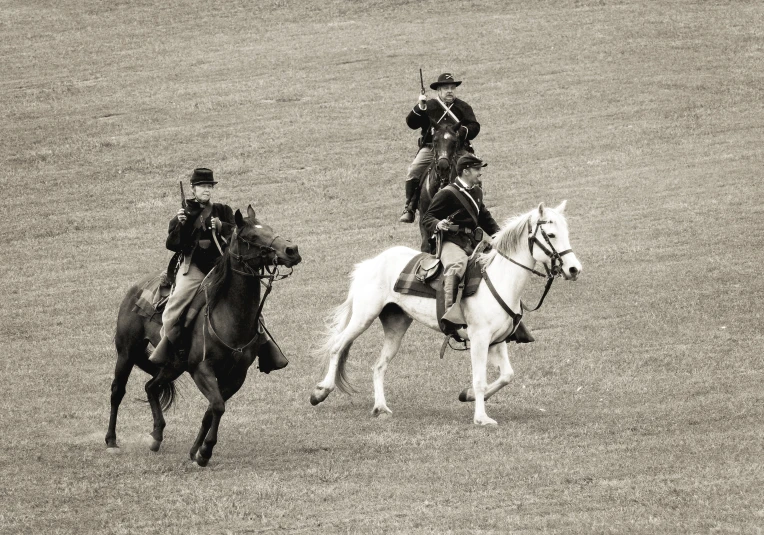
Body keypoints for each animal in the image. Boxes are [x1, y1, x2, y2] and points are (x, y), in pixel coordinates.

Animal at [105, 203, 302, 466]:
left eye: (270, 228)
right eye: (251, 237)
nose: (292, 250)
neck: (230, 317)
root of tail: (136, 289)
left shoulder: (236, 376)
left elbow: (211, 410)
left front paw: (195, 451)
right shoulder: (202, 369)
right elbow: (217, 406)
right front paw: (205, 451)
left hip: (173, 364)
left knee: (151, 386)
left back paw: (156, 436)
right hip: (127, 352)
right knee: (118, 391)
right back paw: (111, 441)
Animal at [308, 201, 580, 428]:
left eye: (566, 232)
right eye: (551, 234)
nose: (574, 269)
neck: (499, 279)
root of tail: (371, 263)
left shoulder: (498, 341)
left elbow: (506, 376)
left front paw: (466, 395)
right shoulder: (479, 339)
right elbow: (480, 379)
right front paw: (481, 418)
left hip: (396, 325)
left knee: (378, 365)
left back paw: (380, 407)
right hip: (363, 317)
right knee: (337, 346)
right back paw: (321, 391)